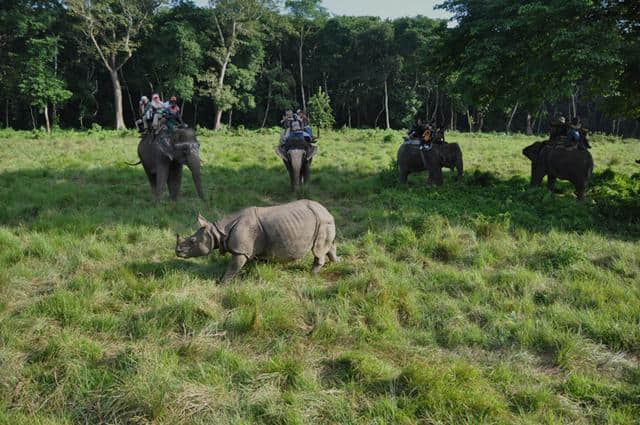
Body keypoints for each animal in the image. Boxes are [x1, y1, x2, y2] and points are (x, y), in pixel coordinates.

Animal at [174, 200, 336, 280]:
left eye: (192, 241)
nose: (177, 252)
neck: (218, 231)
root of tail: (327, 211)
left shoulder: (240, 250)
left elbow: (233, 267)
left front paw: (222, 282)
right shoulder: (251, 247)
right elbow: (253, 262)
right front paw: (251, 273)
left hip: (322, 221)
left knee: (318, 249)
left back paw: (311, 275)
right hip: (323, 220)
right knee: (328, 246)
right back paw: (336, 262)